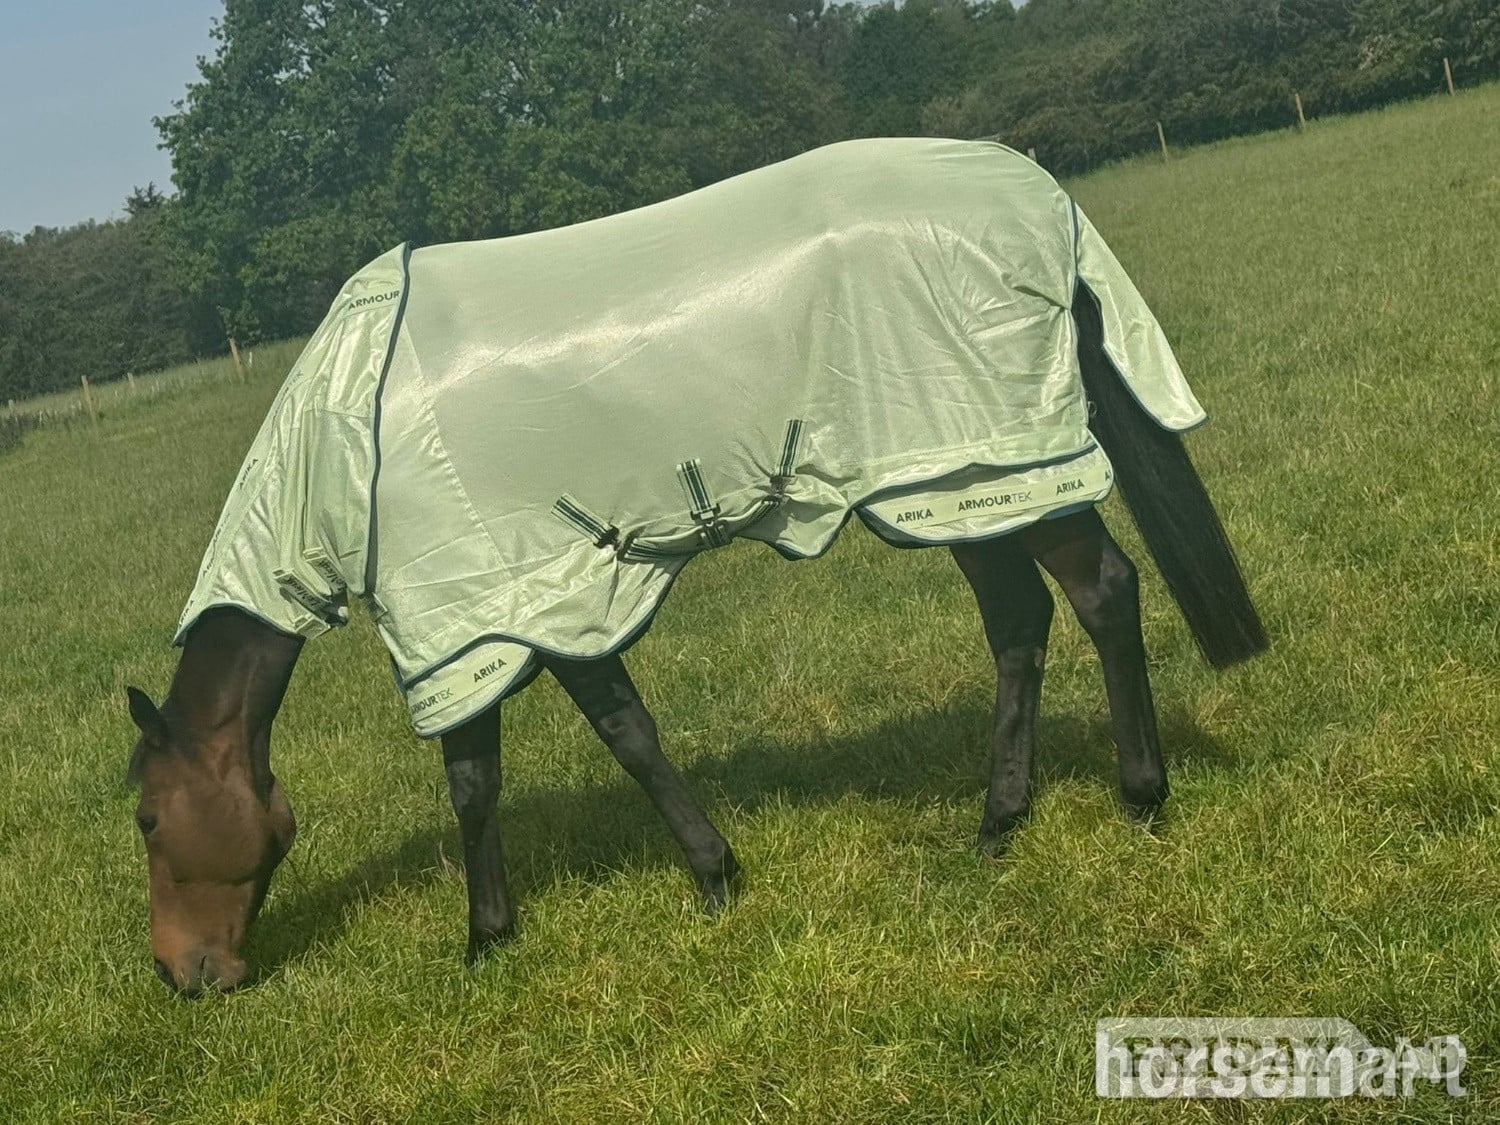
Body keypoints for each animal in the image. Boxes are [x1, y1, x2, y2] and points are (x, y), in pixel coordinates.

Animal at [124, 139, 1265, 994]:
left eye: (145, 818)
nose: (183, 974)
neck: (346, 436)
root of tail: (1035, 193)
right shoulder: (527, 609)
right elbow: (548, 754)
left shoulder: (495, 614)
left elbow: (526, 765)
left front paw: (532, 926)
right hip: (956, 486)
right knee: (1020, 624)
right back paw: (998, 822)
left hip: (998, 464)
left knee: (1101, 594)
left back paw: (1140, 797)